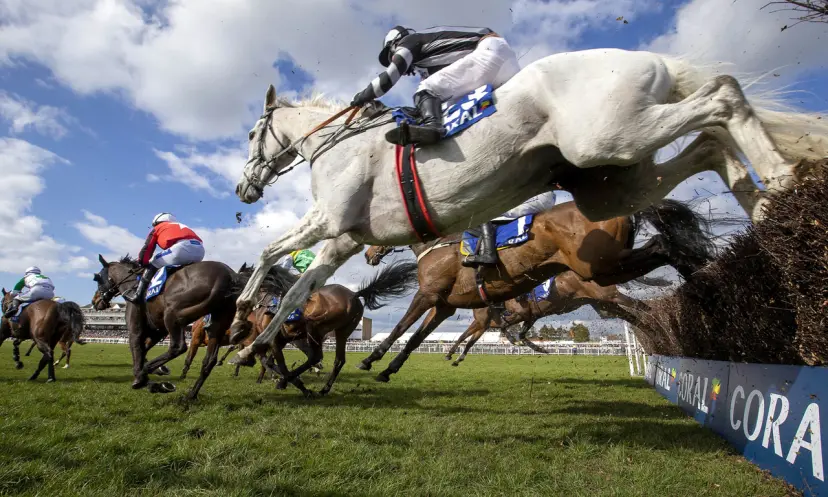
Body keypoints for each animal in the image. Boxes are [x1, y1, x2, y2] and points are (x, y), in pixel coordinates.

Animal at [92, 256, 288, 400]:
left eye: (98, 278)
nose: (95, 301)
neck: (134, 285)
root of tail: (230, 276)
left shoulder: (137, 331)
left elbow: (138, 352)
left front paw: (145, 378)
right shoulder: (157, 332)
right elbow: (143, 351)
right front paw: (156, 373)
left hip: (173, 313)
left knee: (178, 347)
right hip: (218, 323)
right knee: (211, 360)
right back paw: (191, 394)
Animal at [360, 198, 716, 380]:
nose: (368, 254)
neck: (438, 245)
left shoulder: (429, 295)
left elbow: (403, 328)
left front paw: (371, 359)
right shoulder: (446, 305)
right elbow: (417, 337)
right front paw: (389, 369)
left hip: (600, 269)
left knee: (659, 252)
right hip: (604, 278)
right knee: (661, 252)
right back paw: (701, 285)